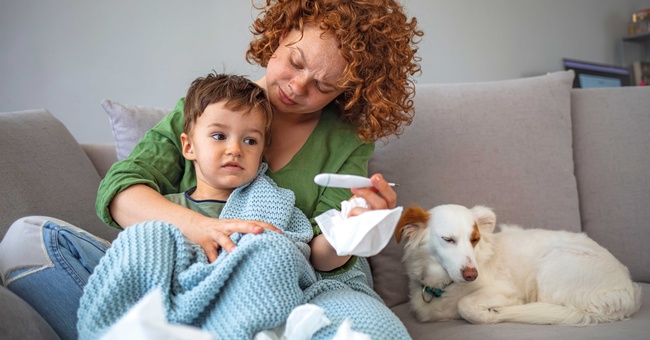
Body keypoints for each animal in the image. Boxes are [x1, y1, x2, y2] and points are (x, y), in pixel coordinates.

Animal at [392, 203, 640, 326]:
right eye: (448, 239)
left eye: (475, 239)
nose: (472, 275)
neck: (443, 285)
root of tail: (627, 292)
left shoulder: (506, 290)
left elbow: (465, 304)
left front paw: (492, 313)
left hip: (550, 266)